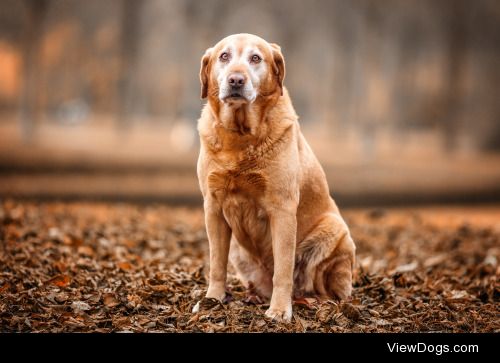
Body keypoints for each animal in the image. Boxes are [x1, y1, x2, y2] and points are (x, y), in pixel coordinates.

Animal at [192, 32, 356, 322]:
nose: (236, 80)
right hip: (239, 251)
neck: (241, 137)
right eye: (224, 56)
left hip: (334, 232)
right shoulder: (213, 207)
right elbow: (216, 264)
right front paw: (213, 299)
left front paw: (280, 310)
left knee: (324, 287)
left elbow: (283, 268)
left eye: (256, 58)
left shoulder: (282, 209)